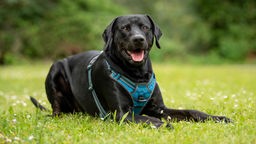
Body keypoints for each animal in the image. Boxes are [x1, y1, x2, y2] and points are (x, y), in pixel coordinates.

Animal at [30, 14, 232, 127]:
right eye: (125, 28)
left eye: (145, 27)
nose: (138, 39)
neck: (137, 75)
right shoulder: (122, 113)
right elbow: (146, 118)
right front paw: (162, 125)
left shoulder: (159, 108)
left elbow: (192, 111)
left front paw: (218, 118)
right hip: (55, 69)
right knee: (56, 110)